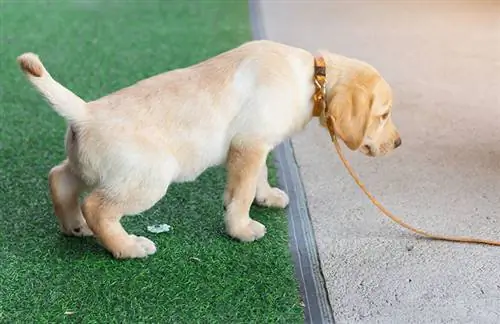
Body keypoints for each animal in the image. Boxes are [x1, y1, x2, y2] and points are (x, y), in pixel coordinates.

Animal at [16, 39, 402, 260]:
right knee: (98, 207)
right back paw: (128, 247)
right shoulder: (249, 144)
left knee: (59, 178)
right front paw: (241, 228)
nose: (398, 143)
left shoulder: (255, 145)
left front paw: (266, 198)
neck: (312, 79)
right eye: (384, 115)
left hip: (85, 165)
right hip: (148, 179)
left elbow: (258, 177)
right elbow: (241, 192)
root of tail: (85, 112)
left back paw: (74, 226)